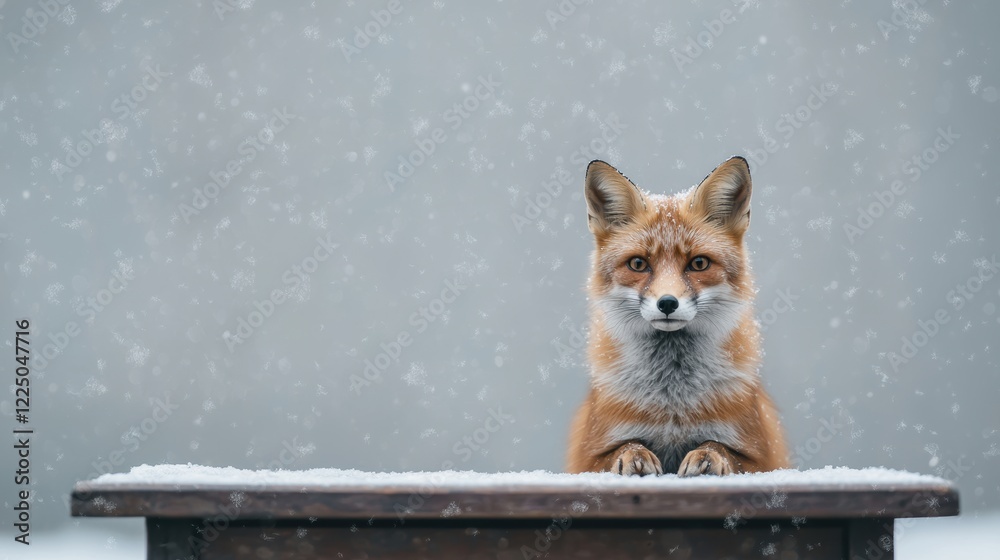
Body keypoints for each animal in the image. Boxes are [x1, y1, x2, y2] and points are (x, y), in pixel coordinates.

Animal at [566, 156, 790, 477]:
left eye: (699, 263)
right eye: (638, 264)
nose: (667, 303)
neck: (672, 398)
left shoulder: (763, 455)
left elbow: (720, 446)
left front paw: (708, 456)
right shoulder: (588, 454)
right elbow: (624, 446)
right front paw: (634, 455)